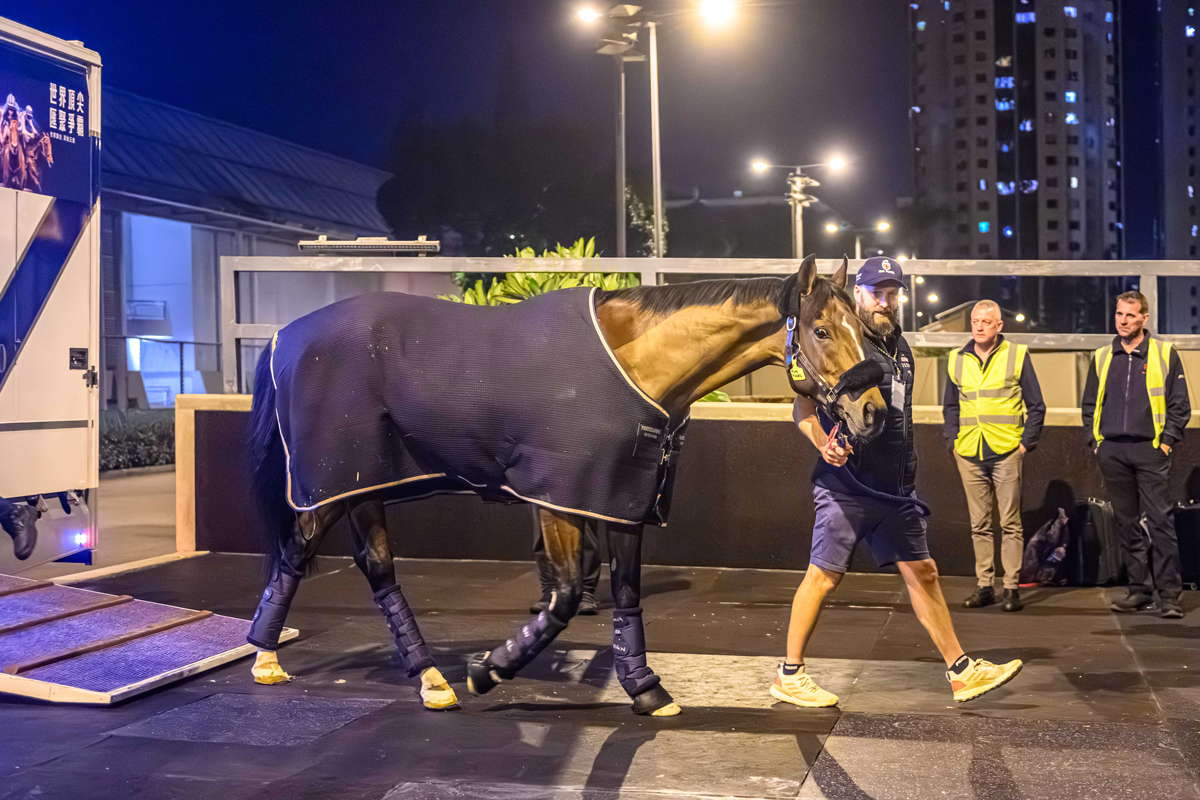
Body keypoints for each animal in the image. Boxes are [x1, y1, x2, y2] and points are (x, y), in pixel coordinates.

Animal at [243, 255, 888, 714]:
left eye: (862, 327)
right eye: (822, 330)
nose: (874, 413)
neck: (635, 363)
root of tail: (284, 336)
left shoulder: (623, 499)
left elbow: (626, 594)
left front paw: (646, 689)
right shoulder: (560, 499)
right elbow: (565, 597)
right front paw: (488, 670)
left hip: (363, 487)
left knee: (361, 566)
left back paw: (409, 674)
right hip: (336, 484)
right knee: (309, 552)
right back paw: (278, 657)